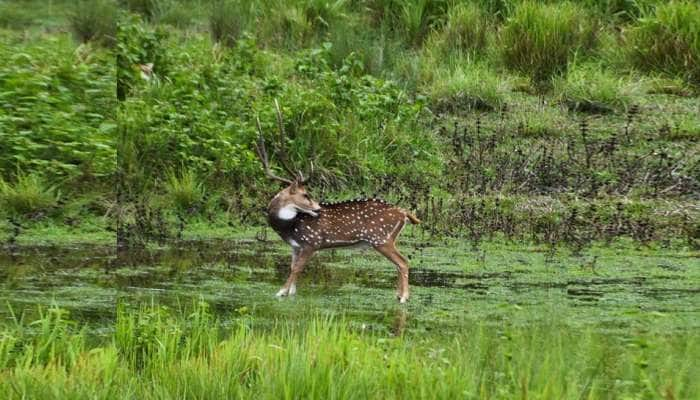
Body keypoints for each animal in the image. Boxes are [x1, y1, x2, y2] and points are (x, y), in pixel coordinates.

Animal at [258, 101, 422, 304]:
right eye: (306, 195)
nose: (318, 208)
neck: (289, 226)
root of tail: (404, 213)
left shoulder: (311, 242)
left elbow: (297, 269)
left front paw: (280, 292)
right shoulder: (296, 247)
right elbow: (292, 270)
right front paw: (290, 293)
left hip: (381, 238)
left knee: (403, 262)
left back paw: (404, 298)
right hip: (387, 239)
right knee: (400, 264)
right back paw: (398, 295)